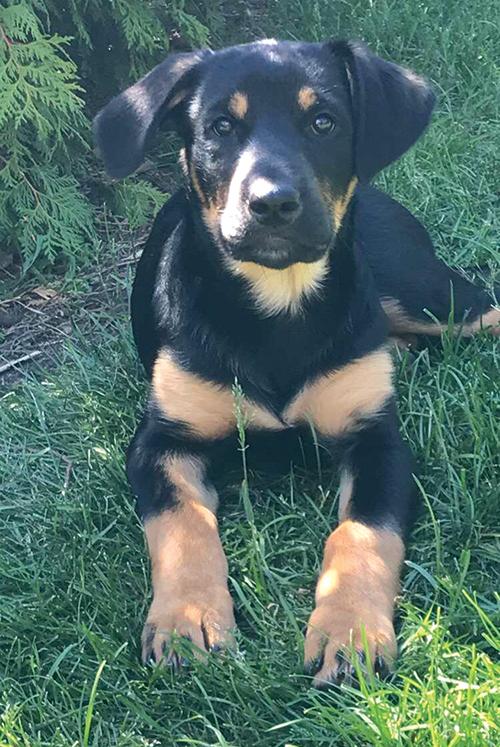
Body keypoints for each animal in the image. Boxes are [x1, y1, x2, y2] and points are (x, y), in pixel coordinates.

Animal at [93, 38, 496, 688]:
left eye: (323, 122)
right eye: (221, 128)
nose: (272, 203)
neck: (278, 304)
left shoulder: (378, 440)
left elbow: (363, 533)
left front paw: (350, 631)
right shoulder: (162, 441)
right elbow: (183, 526)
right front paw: (186, 619)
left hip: (433, 295)